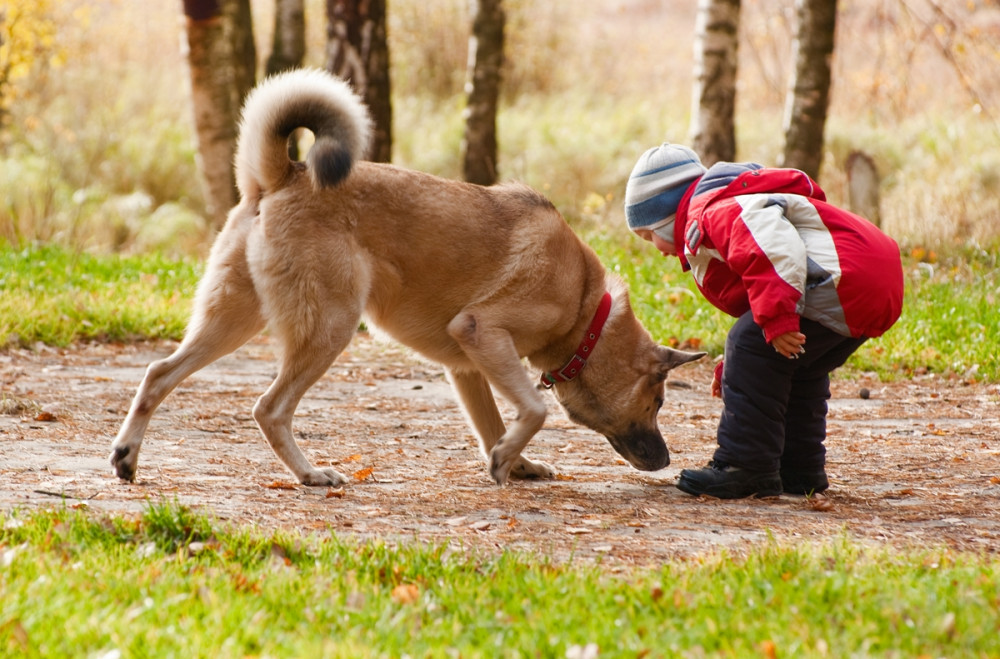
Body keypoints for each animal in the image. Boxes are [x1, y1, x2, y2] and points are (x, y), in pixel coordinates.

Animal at [109, 69, 704, 488]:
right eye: (658, 402)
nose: (666, 461)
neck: (585, 308)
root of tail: (285, 175)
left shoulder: (468, 366)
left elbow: (495, 422)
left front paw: (513, 461)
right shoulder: (482, 331)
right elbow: (533, 410)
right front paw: (509, 458)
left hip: (232, 320)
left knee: (159, 374)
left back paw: (126, 457)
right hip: (330, 327)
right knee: (269, 409)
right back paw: (310, 474)